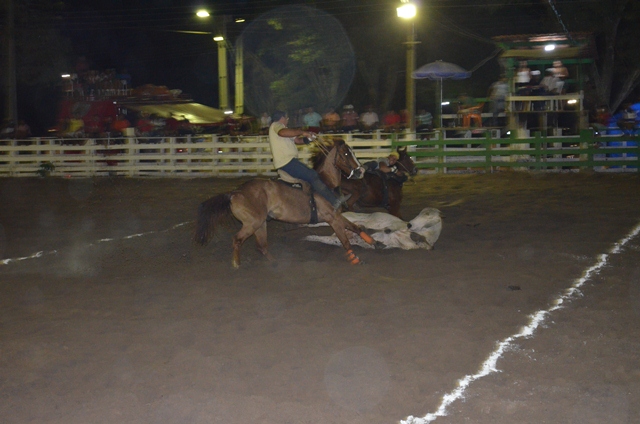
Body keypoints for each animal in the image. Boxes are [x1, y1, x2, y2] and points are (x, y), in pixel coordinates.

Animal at [196, 139, 376, 268]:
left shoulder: (338, 216)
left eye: (352, 152)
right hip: (252, 223)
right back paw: (236, 264)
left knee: (262, 246)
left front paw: (372, 242)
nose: (361, 171)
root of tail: (235, 193)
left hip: (260, 224)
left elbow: (355, 227)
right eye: (345, 153)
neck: (326, 183)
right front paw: (355, 259)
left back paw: (274, 262)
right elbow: (345, 240)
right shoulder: (333, 218)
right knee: (237, 240)